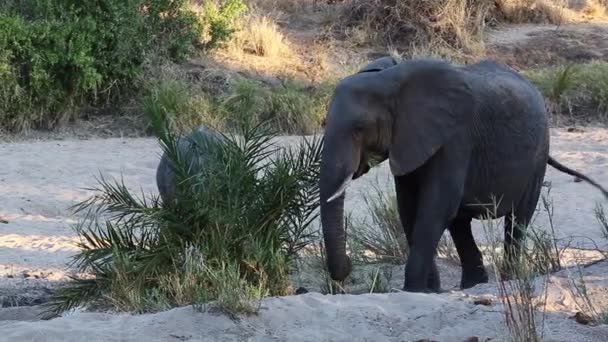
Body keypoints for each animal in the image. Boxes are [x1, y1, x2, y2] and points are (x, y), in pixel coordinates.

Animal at [318, 54, 608, 292]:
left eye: (359, 129)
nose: (348, 266)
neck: (390, 79)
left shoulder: (455, 137)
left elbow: (435, 205)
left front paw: (415, 289)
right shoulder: (409, 141)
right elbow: (409, 208)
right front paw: (429, 291)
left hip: (538, 154)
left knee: (517, 220)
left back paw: (509, 279)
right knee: (461, 223)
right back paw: (474, 285)